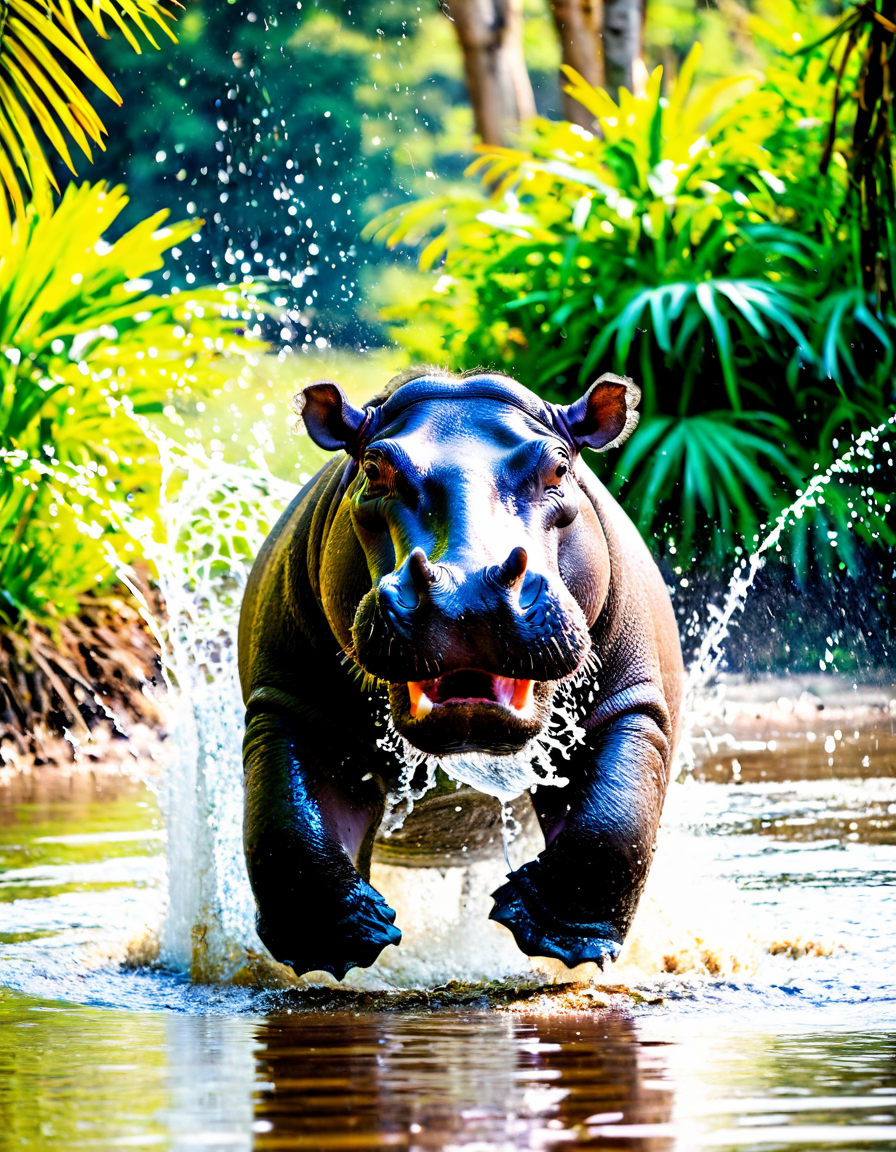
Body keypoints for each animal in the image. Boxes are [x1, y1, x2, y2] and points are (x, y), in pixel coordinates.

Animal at [238, 369, 683, 980]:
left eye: (560, 467)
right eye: (372, 468)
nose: (466, 593)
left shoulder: (632, 705)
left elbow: (613, 825)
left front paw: (556, 936)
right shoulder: (288, 703)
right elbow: (286, 823)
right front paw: (339, 943)